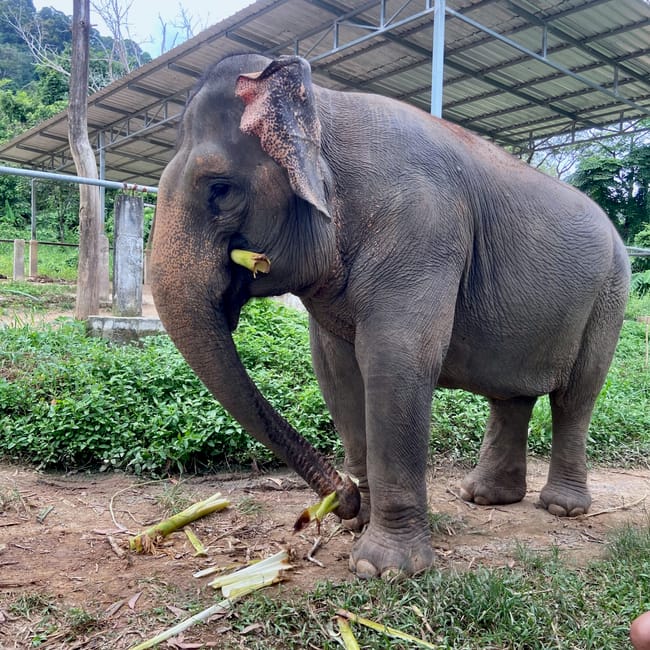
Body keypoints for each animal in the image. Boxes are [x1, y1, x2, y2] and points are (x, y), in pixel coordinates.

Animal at [150, 53, 631, 579]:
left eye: (220, 189)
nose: (343, 497)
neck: (324, 108)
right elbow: (337, 372)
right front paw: (355, 527)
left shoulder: (422, 228)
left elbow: (395, 361)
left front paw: (383, 569)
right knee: (512, 396)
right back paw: (484, 498)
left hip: (609, 295)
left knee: (576, 395)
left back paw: (561, 507)